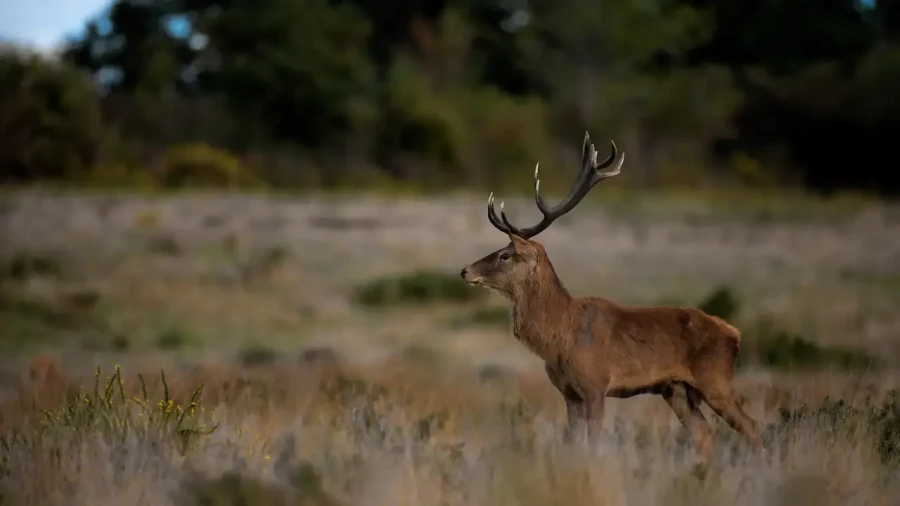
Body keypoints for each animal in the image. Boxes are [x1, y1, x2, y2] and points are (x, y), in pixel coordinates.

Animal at [459, 132, 766, 463]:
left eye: (505, 254)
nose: (464, 270)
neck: (560, 336)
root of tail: (734, 334)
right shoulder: (569, 392)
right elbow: (574, 442)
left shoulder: (596, 384)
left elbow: (594, 442)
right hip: (677, 390)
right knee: (705, 434)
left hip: (716, 379)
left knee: (752, 427)